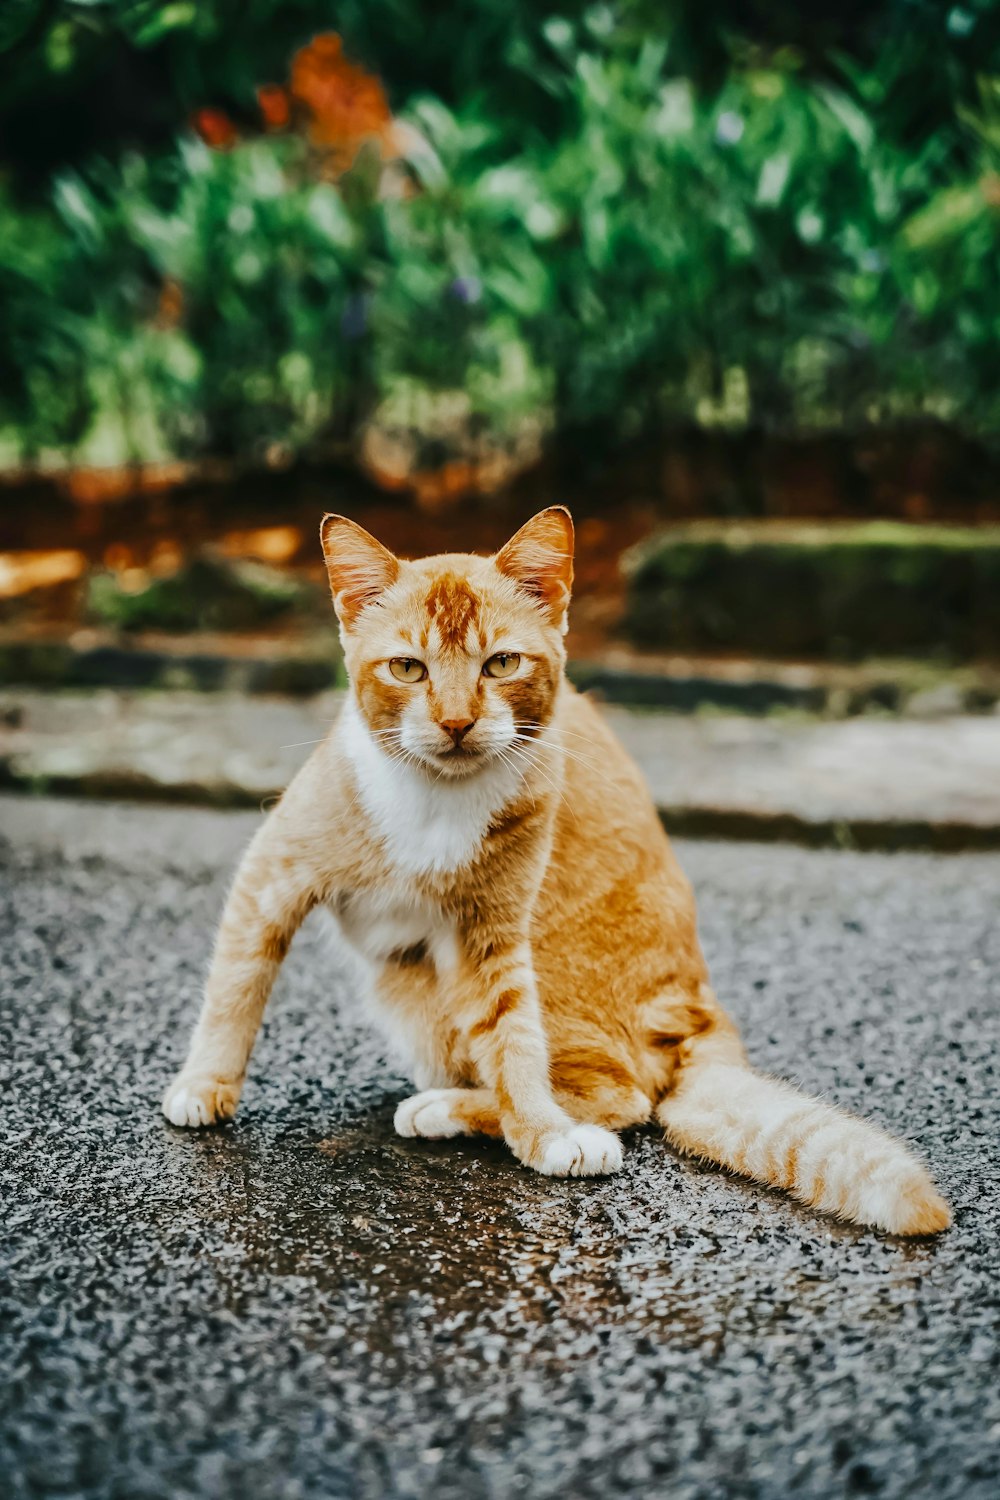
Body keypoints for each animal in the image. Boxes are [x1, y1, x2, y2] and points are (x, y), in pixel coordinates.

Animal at [164, 510, 953, 1236]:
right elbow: (234, 988)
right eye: (409, 668)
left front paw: (542, 1134)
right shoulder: (273, 875)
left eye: (501, 664)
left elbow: (515, 1042)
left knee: (622, 1096)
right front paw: (206, 1084)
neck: (435, 800)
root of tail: (699, 1004)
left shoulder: (492, 937)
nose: (456, 722)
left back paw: (453, 1108)